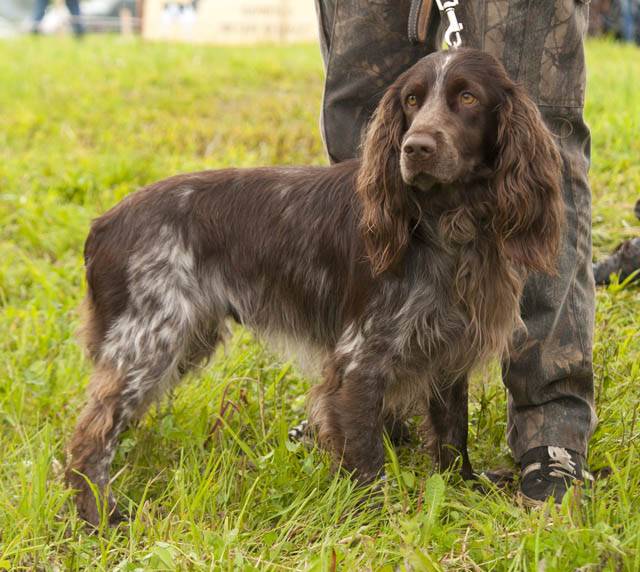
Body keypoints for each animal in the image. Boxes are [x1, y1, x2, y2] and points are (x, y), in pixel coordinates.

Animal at [67, 47, 564, 524]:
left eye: (468, 97)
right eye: (411, 100)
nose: (415, 147)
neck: (444, 223)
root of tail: (102, 224)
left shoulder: (448, 349)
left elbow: (451, 431)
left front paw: (463, 487)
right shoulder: (358, 361)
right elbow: (365, 454)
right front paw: (376, 519)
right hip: (150, 342)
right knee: (90, 435)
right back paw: (101, 515)